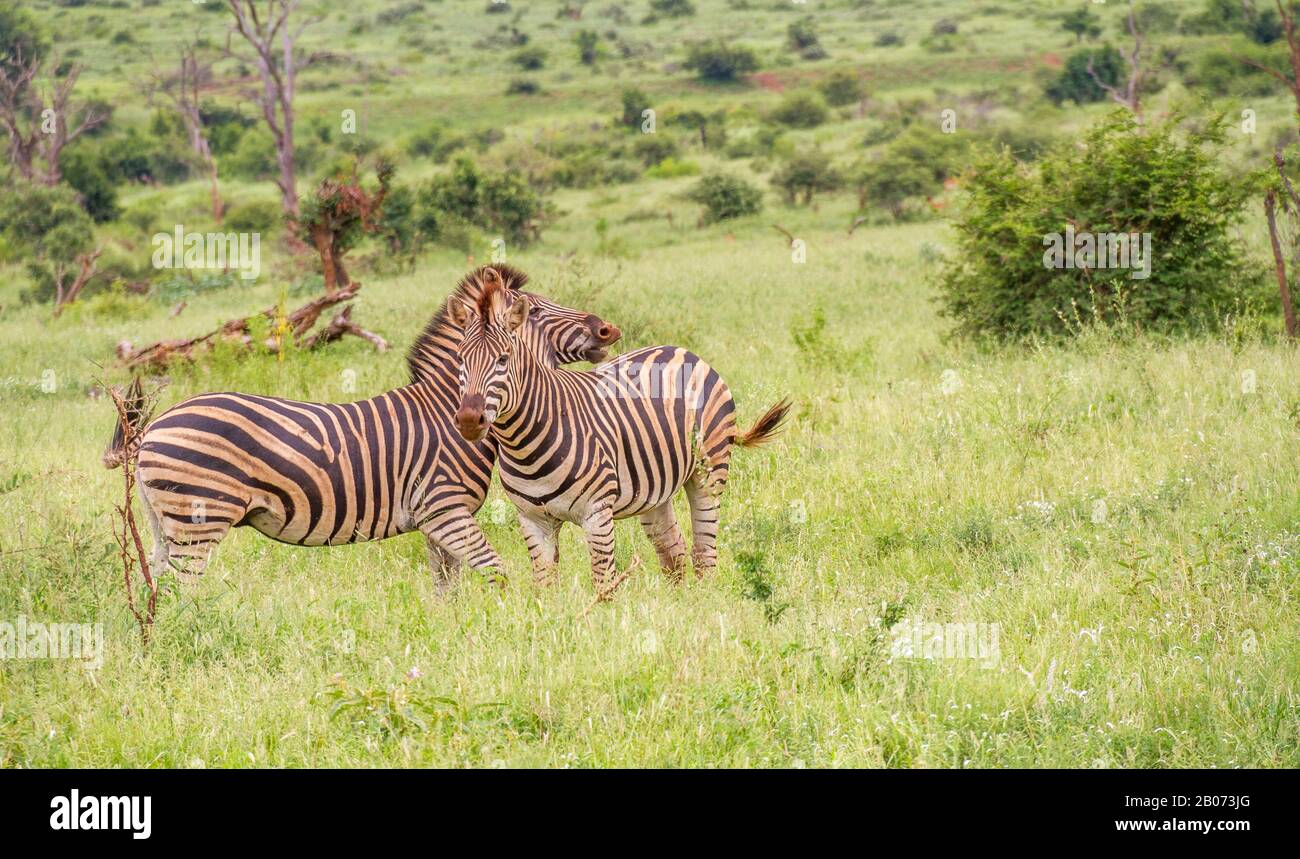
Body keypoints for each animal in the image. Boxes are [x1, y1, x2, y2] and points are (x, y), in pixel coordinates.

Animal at [104, 265, 621, 592]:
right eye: (536, 311)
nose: (608, 330)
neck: (448, 408)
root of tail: (154, 428)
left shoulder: (435, 521)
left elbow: (446, 589)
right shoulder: (445, 508)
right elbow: (496, 573)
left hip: (164, 523)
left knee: (158, 586)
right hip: (200, 518)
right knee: (183, 593)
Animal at [447, 274, 790, 589]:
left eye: (503, 359)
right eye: (460, 358)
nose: (469, 420)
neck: (523, 442)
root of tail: (683, 350)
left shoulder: (597, 513)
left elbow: (603, 585)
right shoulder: (533, 520)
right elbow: (544, 587)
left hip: (709, 472)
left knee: (704, 552)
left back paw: (704, 600)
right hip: (655, 488)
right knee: (673, 549)